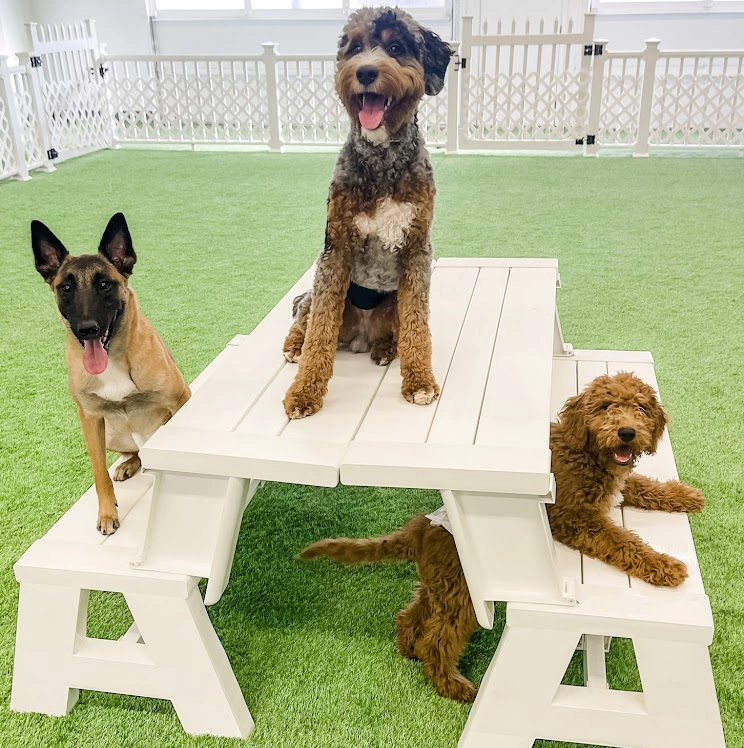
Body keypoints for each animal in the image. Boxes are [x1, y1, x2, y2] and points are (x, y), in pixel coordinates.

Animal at [32, 213, 190, 536]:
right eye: (65, 288)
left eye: (105, 284)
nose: (87, 329)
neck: (114, 361)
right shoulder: (90, 419)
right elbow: (98, 474)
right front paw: (106, 514)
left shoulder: (180, 399)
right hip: (110, 436)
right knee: (133, 454)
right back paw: (128, 464)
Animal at [548, 372, 708, 588]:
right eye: (605, 406)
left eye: (641, 408)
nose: (627, 432)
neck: (586, 457)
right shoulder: (571, 517)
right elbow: (621, 540)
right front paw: (662, 565)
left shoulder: (619, 484)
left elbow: (645, 485)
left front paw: (687, 495)